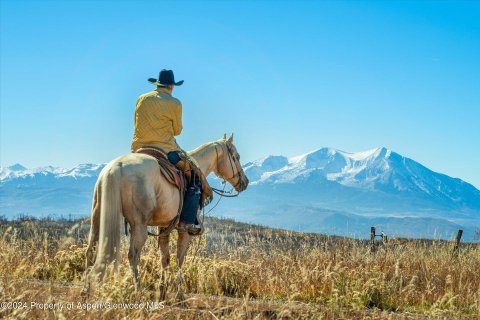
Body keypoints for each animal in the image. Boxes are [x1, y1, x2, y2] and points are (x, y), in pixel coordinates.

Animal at [82, 133, 248, 300]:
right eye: (236, 157)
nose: (245, 182)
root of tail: (116, 167)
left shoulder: (164, 226)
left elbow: (165, 258)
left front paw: (162, 292)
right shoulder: (184, 230)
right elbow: (180, 259)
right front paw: (180, 295)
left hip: (98, 218)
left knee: (91, 250)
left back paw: (86, 290)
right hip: (139, 225)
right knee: (133, 255)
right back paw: (138, 291)